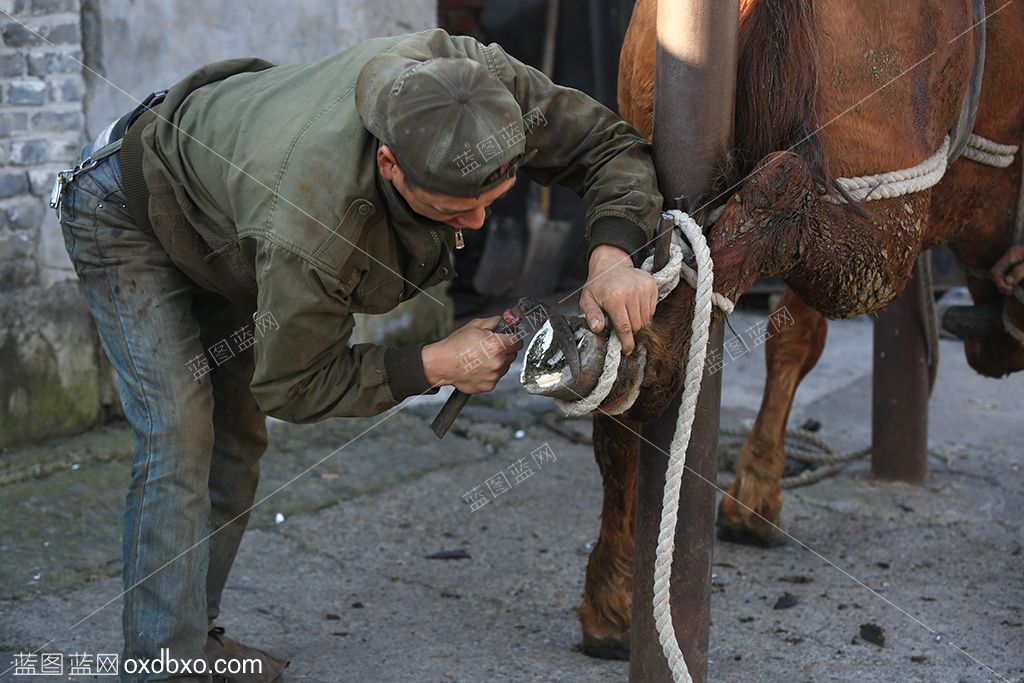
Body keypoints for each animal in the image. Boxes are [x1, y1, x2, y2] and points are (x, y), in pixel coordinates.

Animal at [577, 0, 1024, 663]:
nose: (997, 346)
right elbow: (803, 339)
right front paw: (755, 497)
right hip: (885, 231)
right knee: (782, 199)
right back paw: (659, 361)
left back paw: (608, 599)